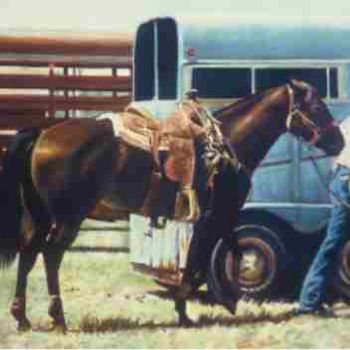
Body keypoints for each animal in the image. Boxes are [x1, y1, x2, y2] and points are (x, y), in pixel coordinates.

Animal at [0, 79, 344, 330]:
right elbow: (209, 258)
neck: (227, 145)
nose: (339, 142)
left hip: (42, 217)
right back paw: (57, 317)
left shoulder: (209, 219)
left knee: (29, 255)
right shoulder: (214, 217)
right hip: (68, 218)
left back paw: (22, 317)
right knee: (50, 255)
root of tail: (43, 133)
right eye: (317, 105)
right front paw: (199, 307)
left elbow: (214, 253)